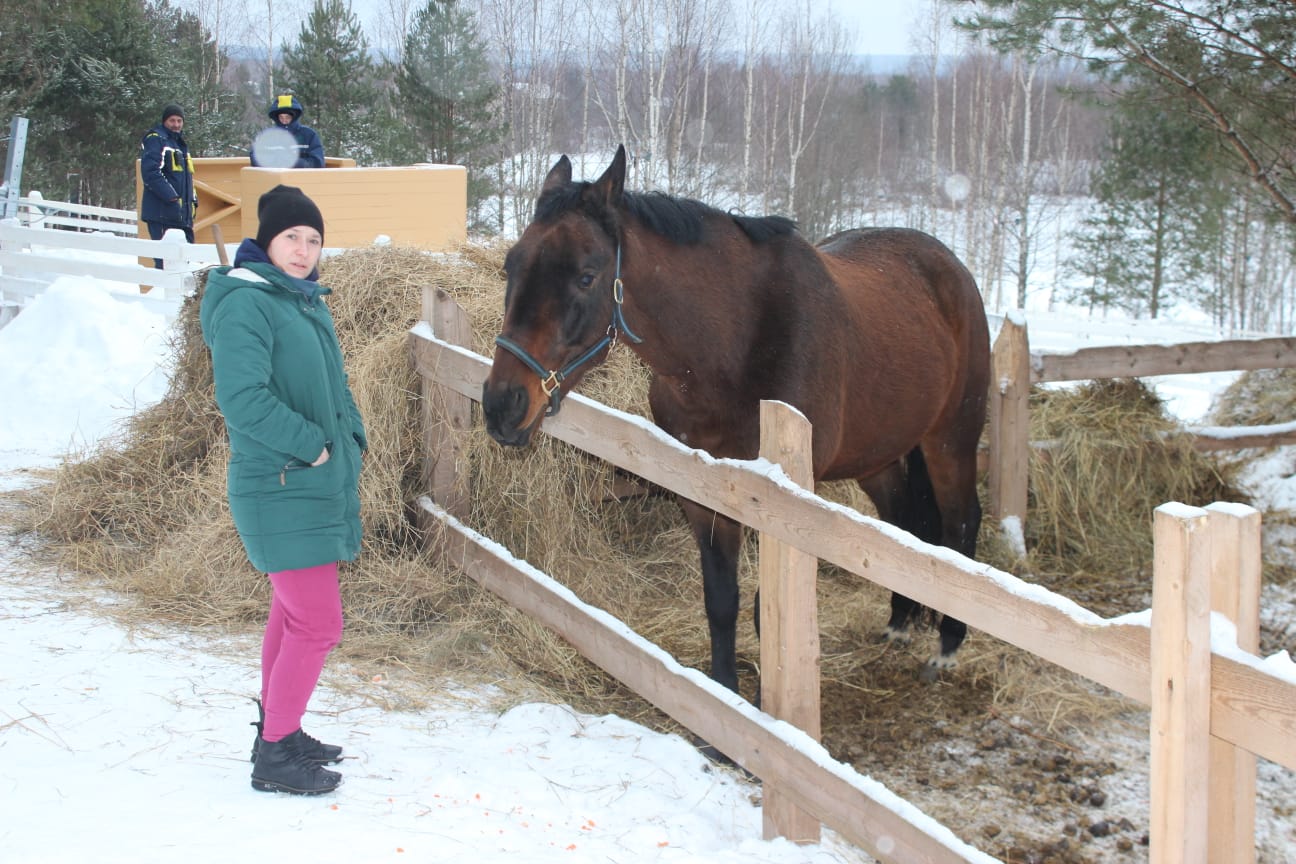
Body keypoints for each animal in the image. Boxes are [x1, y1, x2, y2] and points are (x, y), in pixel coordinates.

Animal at [482, 143, 984, 694]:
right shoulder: (704, 494)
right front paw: (724, 694)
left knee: (961, 524)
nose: (502, 405)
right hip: (879, 456)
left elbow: (770, 616)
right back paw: (899, 621)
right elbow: (721, 600)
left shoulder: (782, 510)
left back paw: (948, 647)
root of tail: (950, 267)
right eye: (511, 266)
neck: (736, 348)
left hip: (951, 440)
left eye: (586, 276)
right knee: (902, 520)